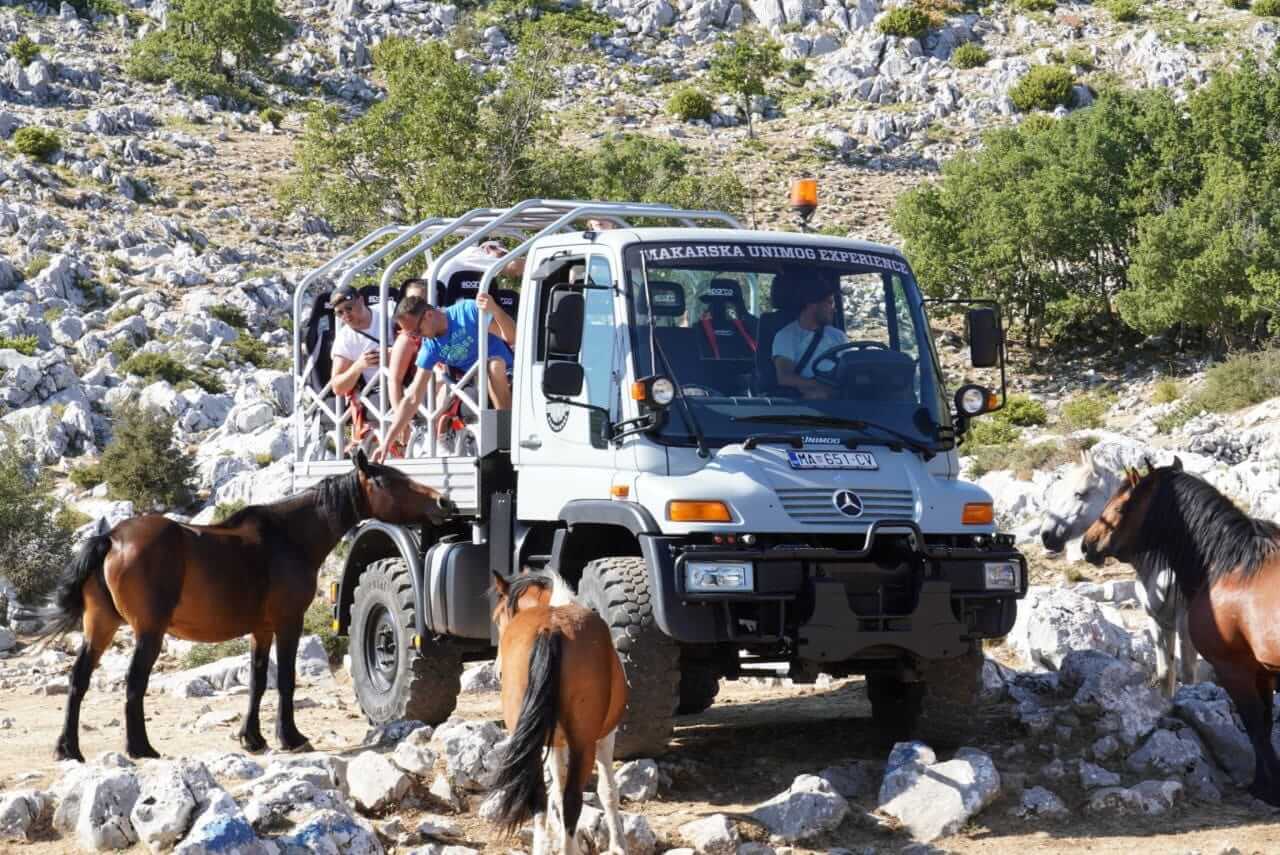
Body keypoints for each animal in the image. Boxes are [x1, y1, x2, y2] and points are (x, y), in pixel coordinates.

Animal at [38, 450, 453, 762]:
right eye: (391, 481)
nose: (443, 502)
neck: (290, 537)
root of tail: (110, 537)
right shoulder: (288, 622)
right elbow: (285, 680)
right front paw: (291, 737)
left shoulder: (261, 629)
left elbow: (257, 680)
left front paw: (252, 738)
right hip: (148, 631)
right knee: (134, 682)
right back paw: (140, 747)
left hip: (100, 626)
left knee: (79, 679)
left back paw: (68, 748)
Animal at [488, 570, 628, 855]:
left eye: (497, 618)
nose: (497, 673)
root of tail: (550, 627)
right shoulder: (604, 737)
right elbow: (607, 790)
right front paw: (618, 844)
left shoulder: (553, 742)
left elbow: (559, 786)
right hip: (583, 743)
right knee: (571, 799)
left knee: (540, 797)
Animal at [1040, 447, 1201, 696]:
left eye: (1080, 493)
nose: (1046, 536)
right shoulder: (1158, 620)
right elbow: (1166, 674)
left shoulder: (1184, 622)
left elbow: (1188, 674)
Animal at [1082, 457, 1280, 805]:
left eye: (1119, 507)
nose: (1087, 544)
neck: (1231, 568)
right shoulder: (1262, 670)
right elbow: (1265, 725)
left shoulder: (1234, 669)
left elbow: (1255, 726)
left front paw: (1265, 788)